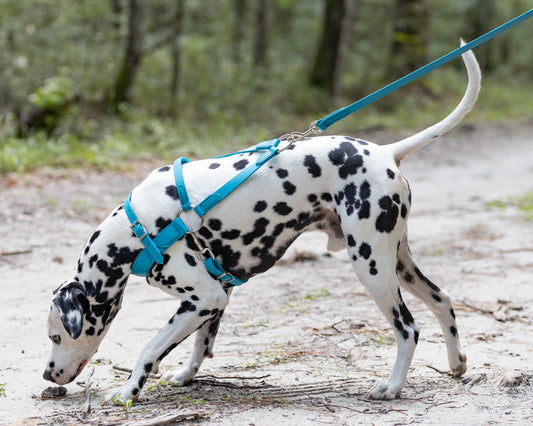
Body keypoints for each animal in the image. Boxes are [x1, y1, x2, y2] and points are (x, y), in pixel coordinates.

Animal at [43, 47, 480, 402]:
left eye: (55, 335)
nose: (47, 374)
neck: (138, 229)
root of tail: (386, 151)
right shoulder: (214, 298)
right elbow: (201, 343)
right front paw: (185, 374)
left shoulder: (202, 297)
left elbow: (150, 348)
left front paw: (127, 392)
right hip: (398, 261)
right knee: (443, 300)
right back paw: (456, 363)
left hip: (372, 266)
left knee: (408, 328)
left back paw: (392, 386)